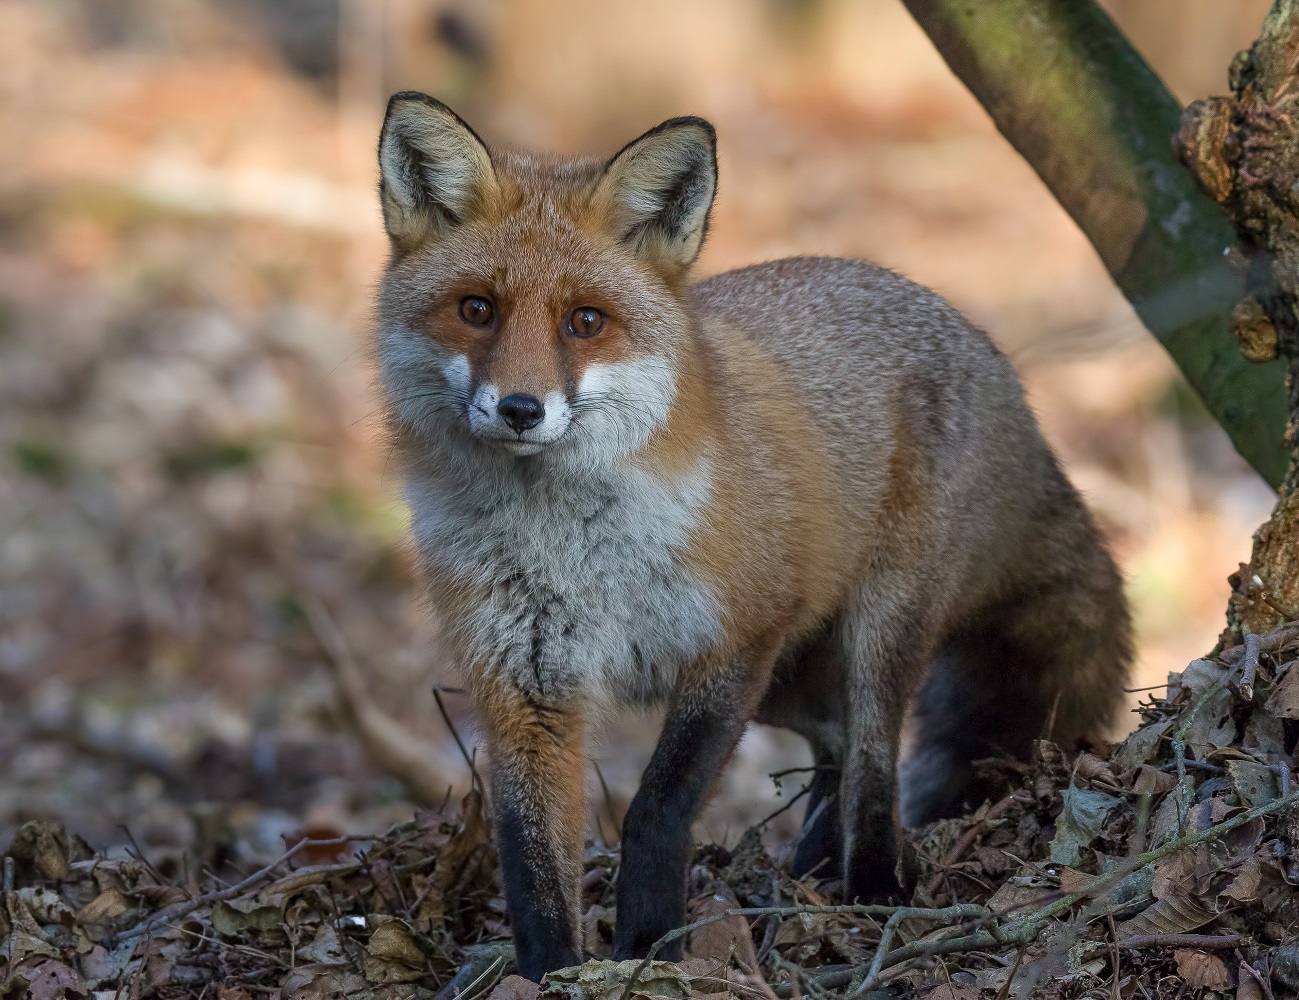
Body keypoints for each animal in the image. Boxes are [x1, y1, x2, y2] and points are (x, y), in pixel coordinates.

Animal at [371, 93, 1132, 981]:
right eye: (476, 310)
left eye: (585, 322)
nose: (521, 408)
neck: (568, 553)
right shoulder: (524, 681)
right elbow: (529, 859)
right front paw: (552, 973)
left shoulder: (735, 642)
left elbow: (657, 812)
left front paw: (649, 947)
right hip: (790, 674)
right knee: (833, 742)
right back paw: (811, 868)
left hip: (873, 630)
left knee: (872, 759)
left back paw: (871, 887)